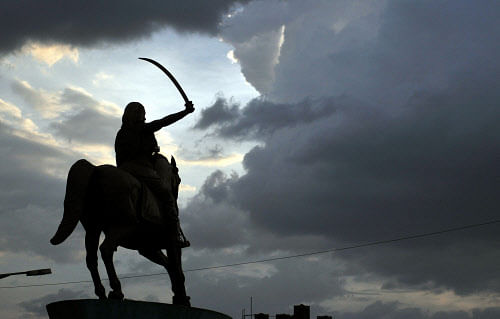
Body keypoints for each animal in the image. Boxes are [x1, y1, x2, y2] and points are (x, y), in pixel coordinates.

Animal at [49, 156, 189, 306]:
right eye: (178, 180)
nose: (175, 198)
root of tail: (95, 169)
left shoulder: (148, 248)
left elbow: (169, 265)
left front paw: (178, 294)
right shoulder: (171, 243)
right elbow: (177, 267)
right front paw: (182, 297)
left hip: (93, 229)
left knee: (91, 258)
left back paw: (101, 293)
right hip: (123, 226)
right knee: (106, 249)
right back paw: (116, 291)